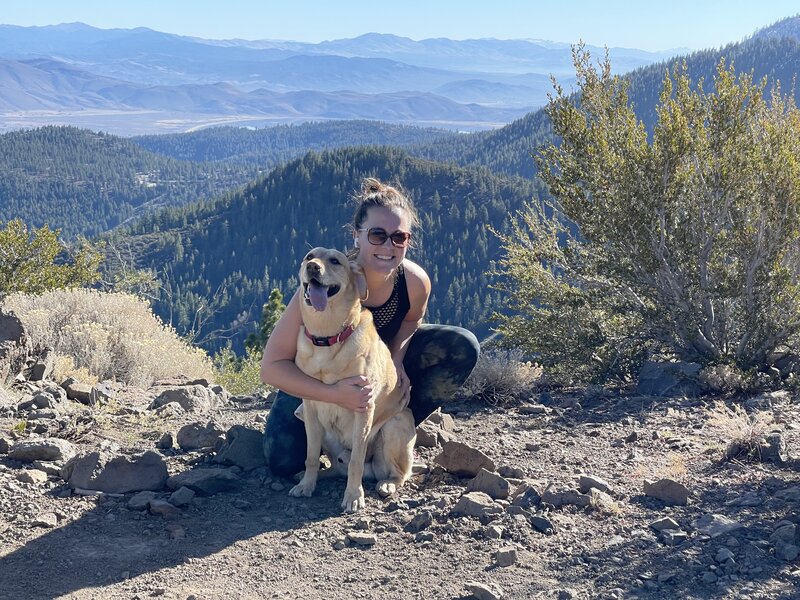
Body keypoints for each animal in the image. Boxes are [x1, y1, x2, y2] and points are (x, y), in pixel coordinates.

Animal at [290, 246, 416, 512]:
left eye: (335, 261)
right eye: (309, 257)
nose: (313, 267)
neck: (326, 337)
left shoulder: (363, 407)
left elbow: (356, 461)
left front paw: (353, 496)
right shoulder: (310, 408)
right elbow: (310, 456)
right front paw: (307, 484)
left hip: (395, 424)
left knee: (395, 473)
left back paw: (387, 483)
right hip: (310, 421)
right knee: (338, 467)